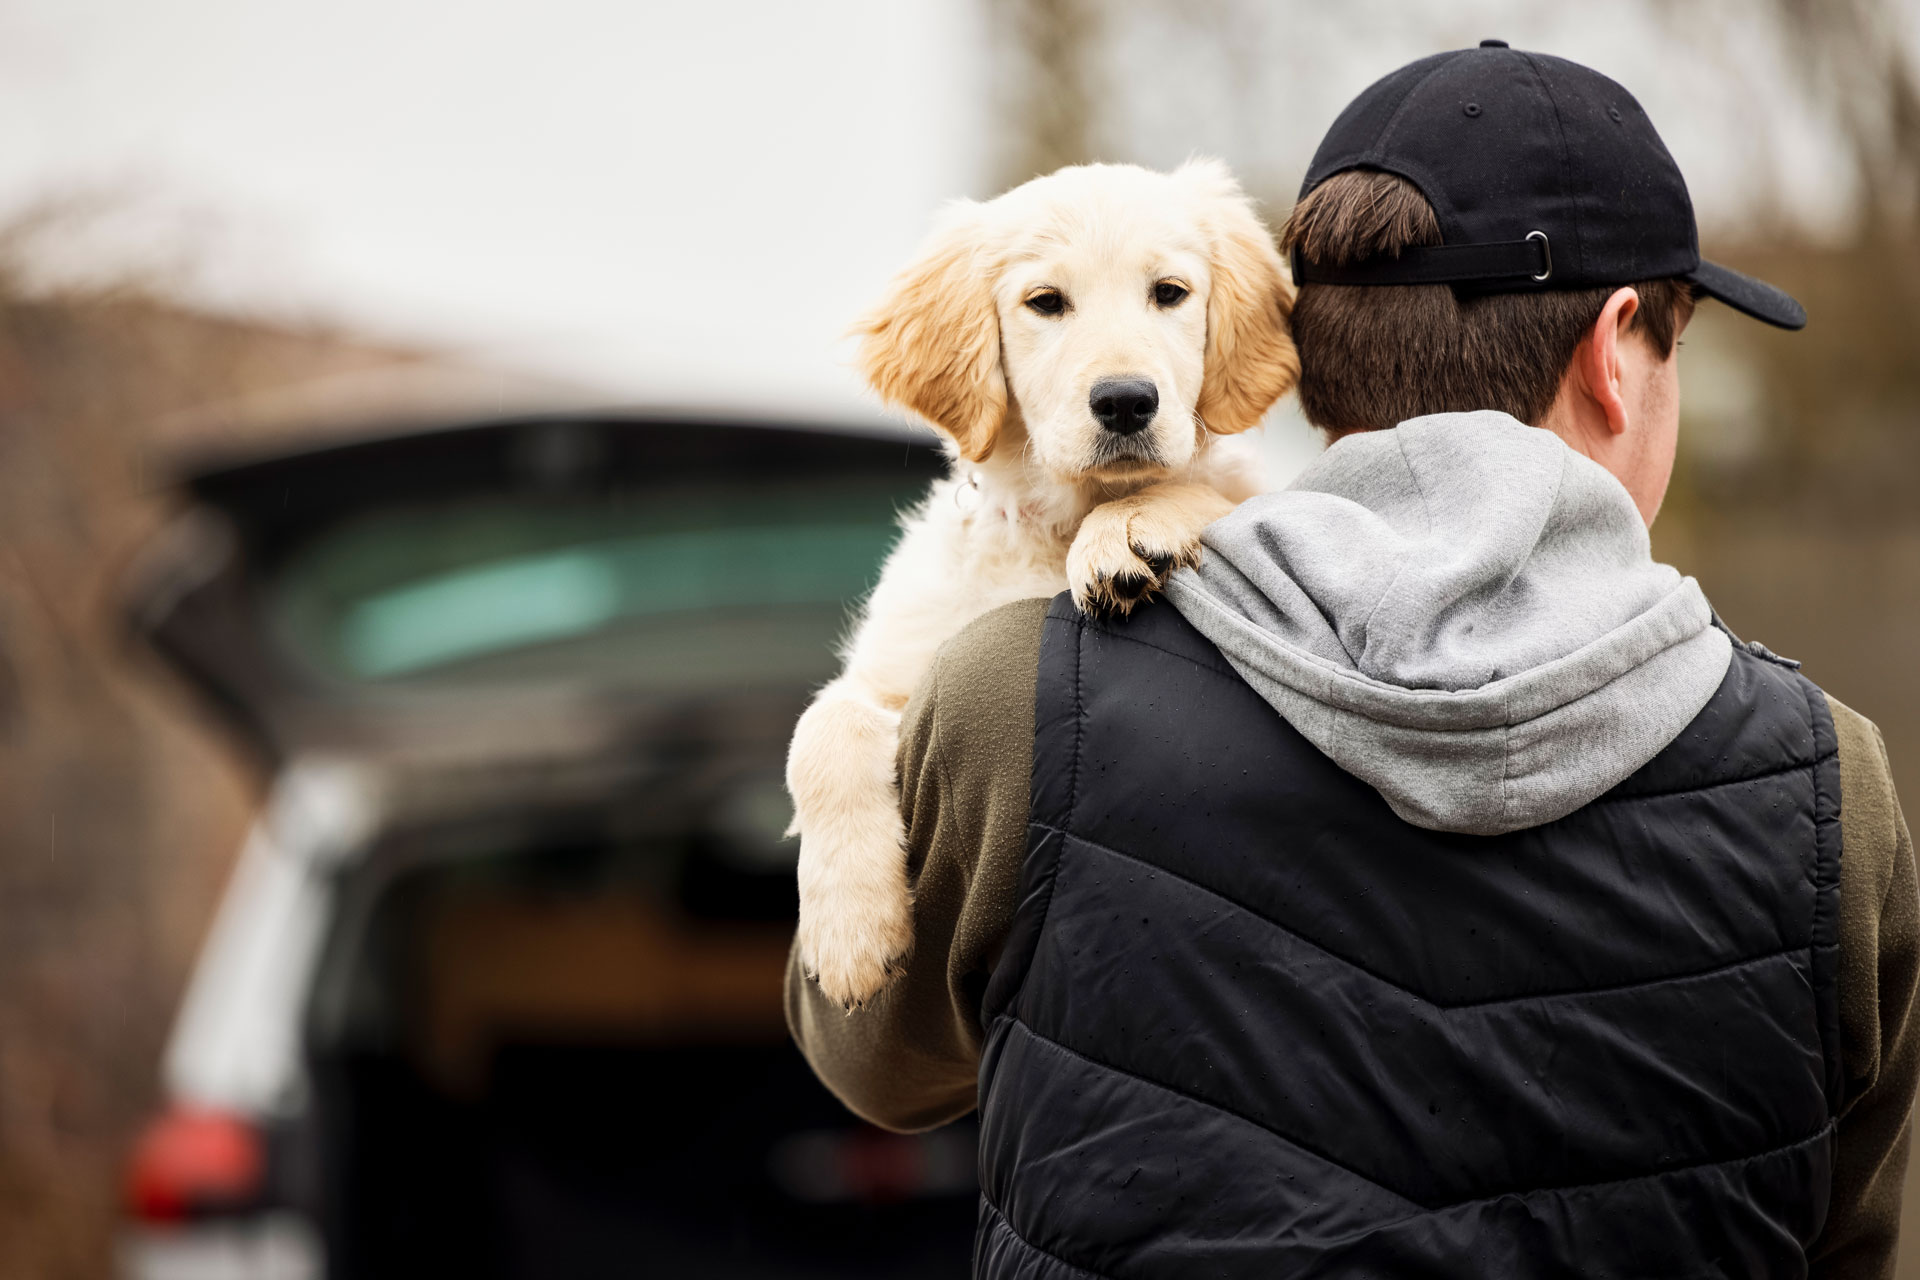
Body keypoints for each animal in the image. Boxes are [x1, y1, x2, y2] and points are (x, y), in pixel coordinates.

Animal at [787, 160, 1297, 1005]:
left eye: (1169, 293)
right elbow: (820, 729)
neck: (1057, 523)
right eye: (1046, 303)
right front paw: (850, 933)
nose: (1126, 401)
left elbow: (1216, 492)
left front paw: (1131, 526)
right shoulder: (896, 667)